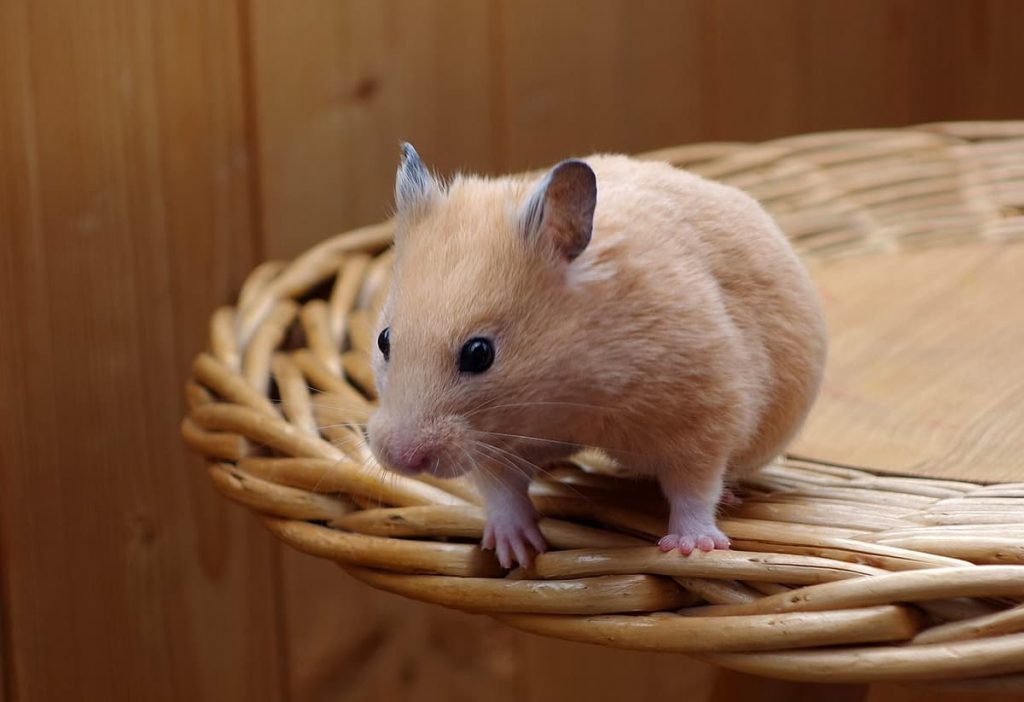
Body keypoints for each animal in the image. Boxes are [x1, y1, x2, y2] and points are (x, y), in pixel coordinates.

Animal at [367, 144, 827, 569]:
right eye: (384, 340)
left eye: (479, 354)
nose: (403, 460)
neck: (566, 393)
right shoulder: (492, 443)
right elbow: (501, 488)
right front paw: (516, 552)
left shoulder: (707, 411)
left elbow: (695, 486)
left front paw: (691, 548)